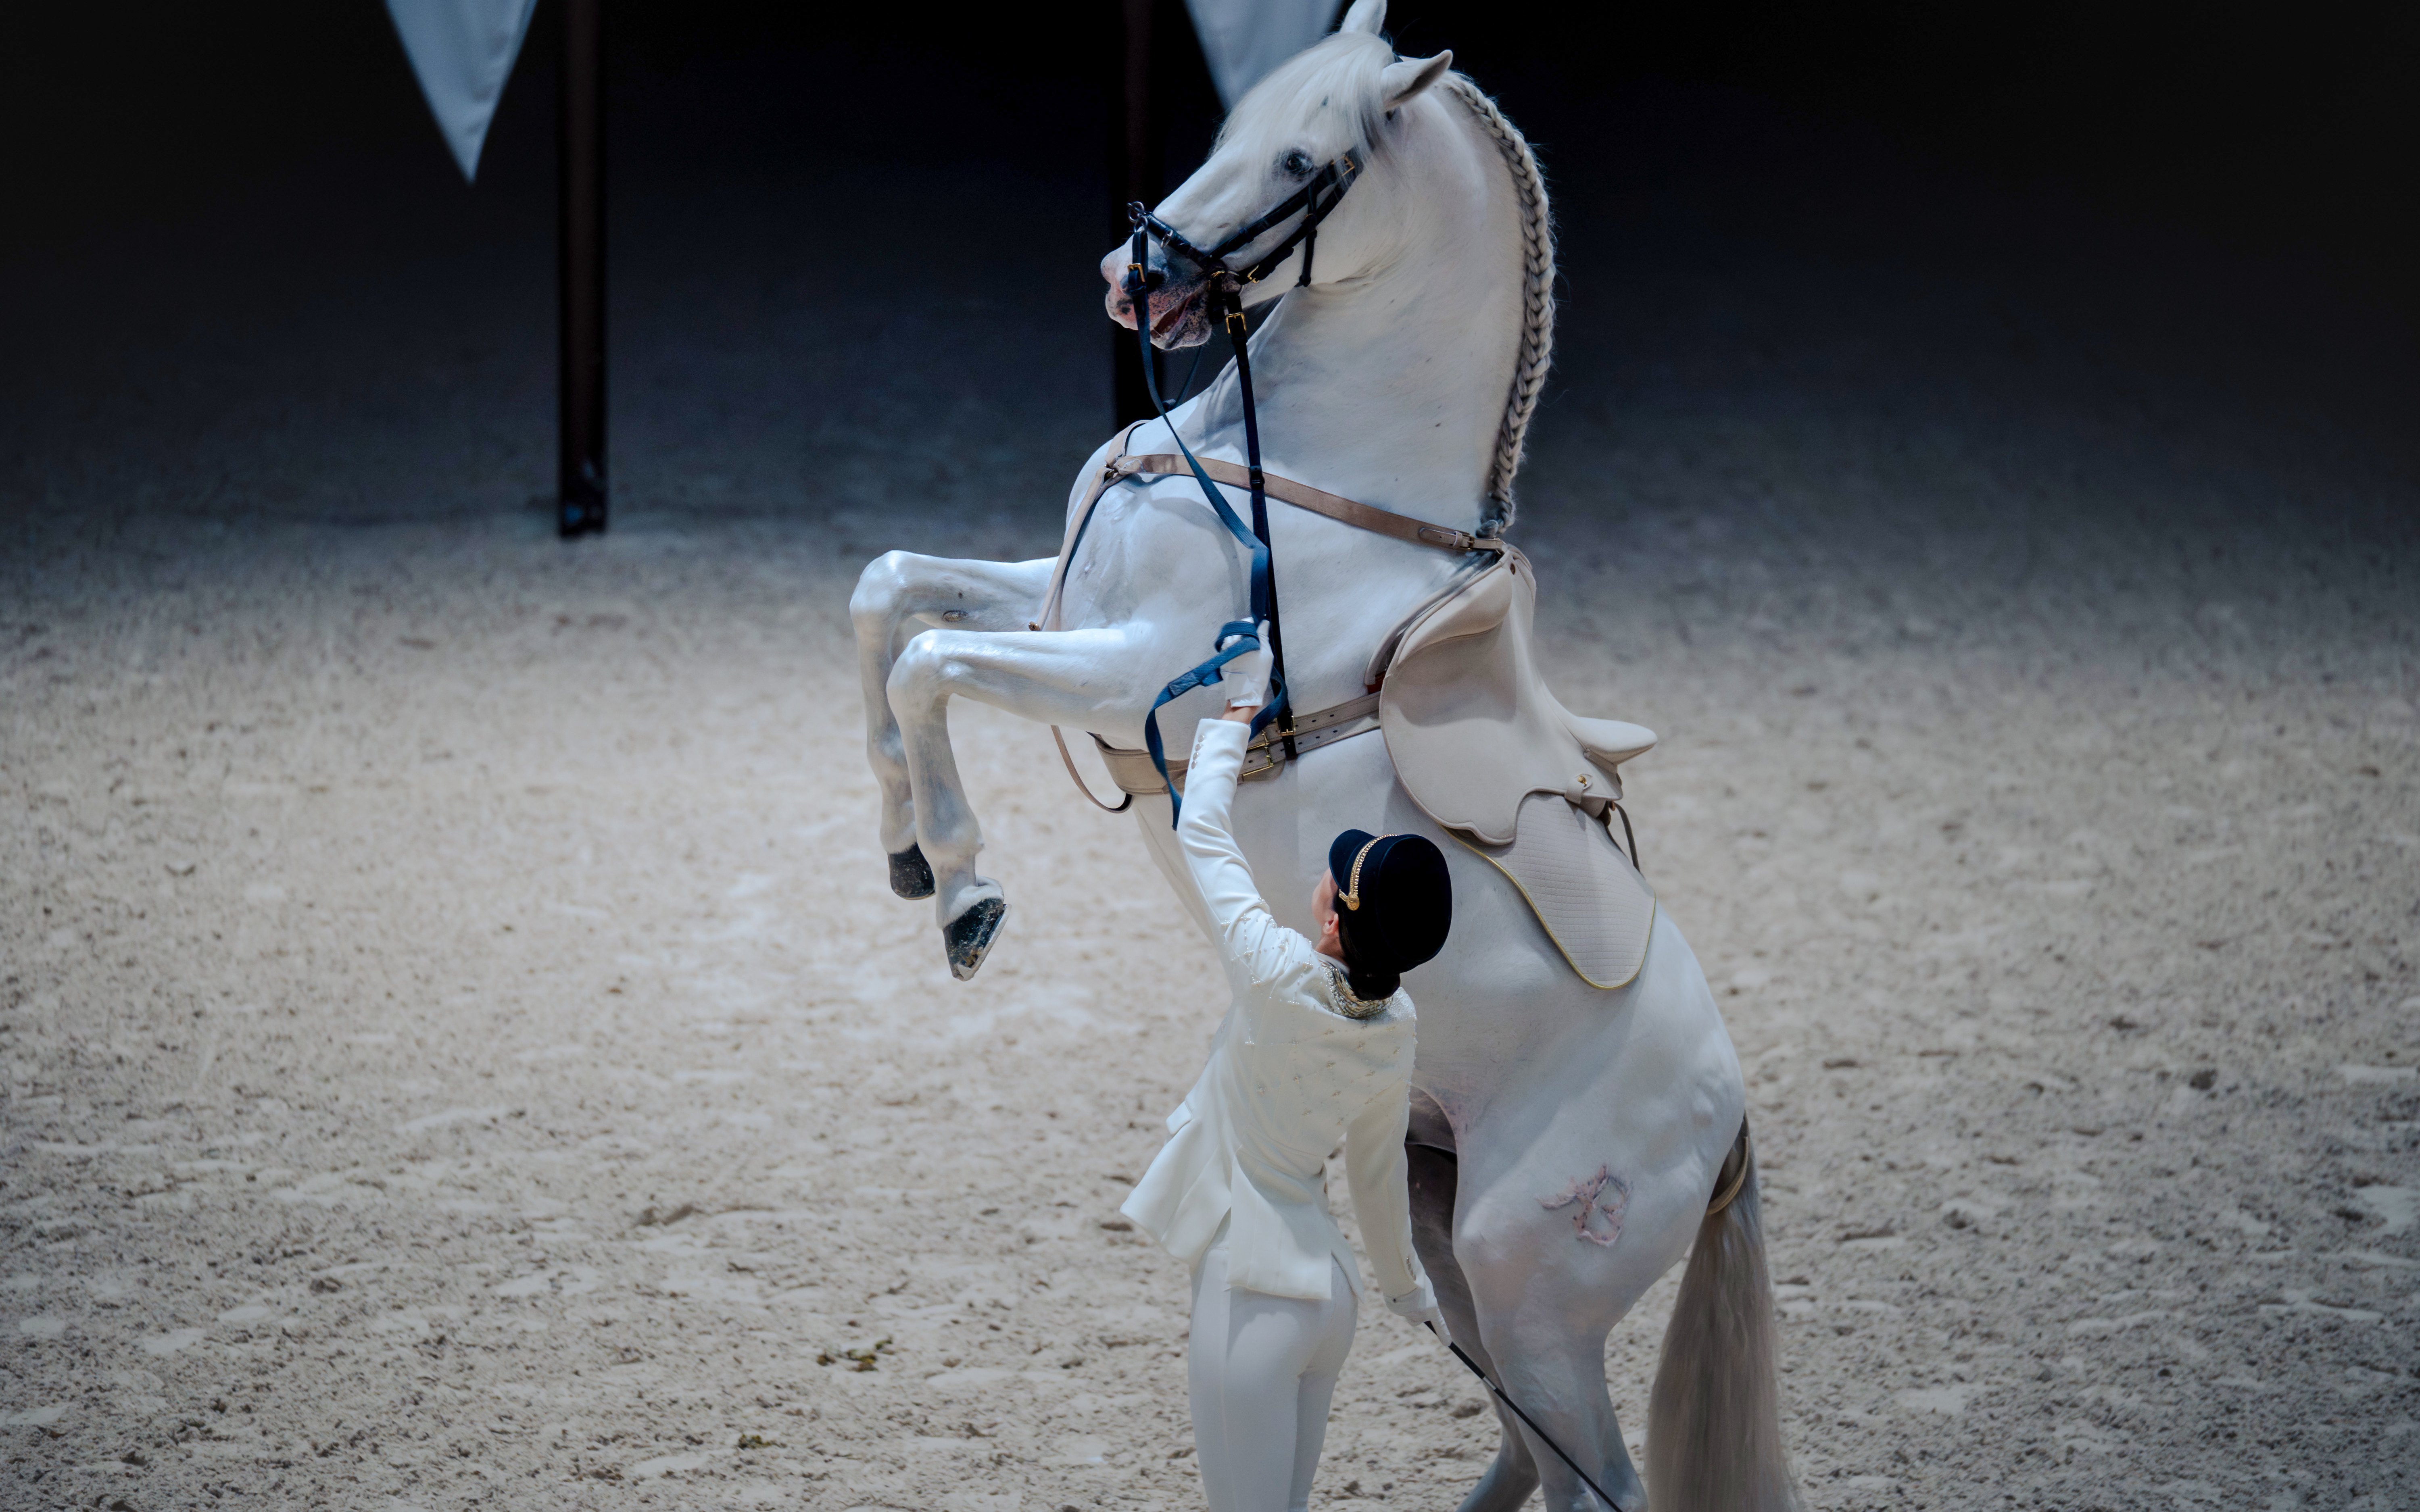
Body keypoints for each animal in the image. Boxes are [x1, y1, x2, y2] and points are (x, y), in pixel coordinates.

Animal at [849, 5, 1795, 1508]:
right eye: (1229, 125)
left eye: (1304, 160)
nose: (1131, 281)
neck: (1298, 476)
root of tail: (1729, 1122)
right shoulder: (1059, 612)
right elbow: (888, 599)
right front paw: (902, 855)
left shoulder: (1130, 672)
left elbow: (929, 657)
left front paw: (967, 896)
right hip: (1439, 1226)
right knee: (1531, 1456)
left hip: (1529, 1296)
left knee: (1598, 1475)